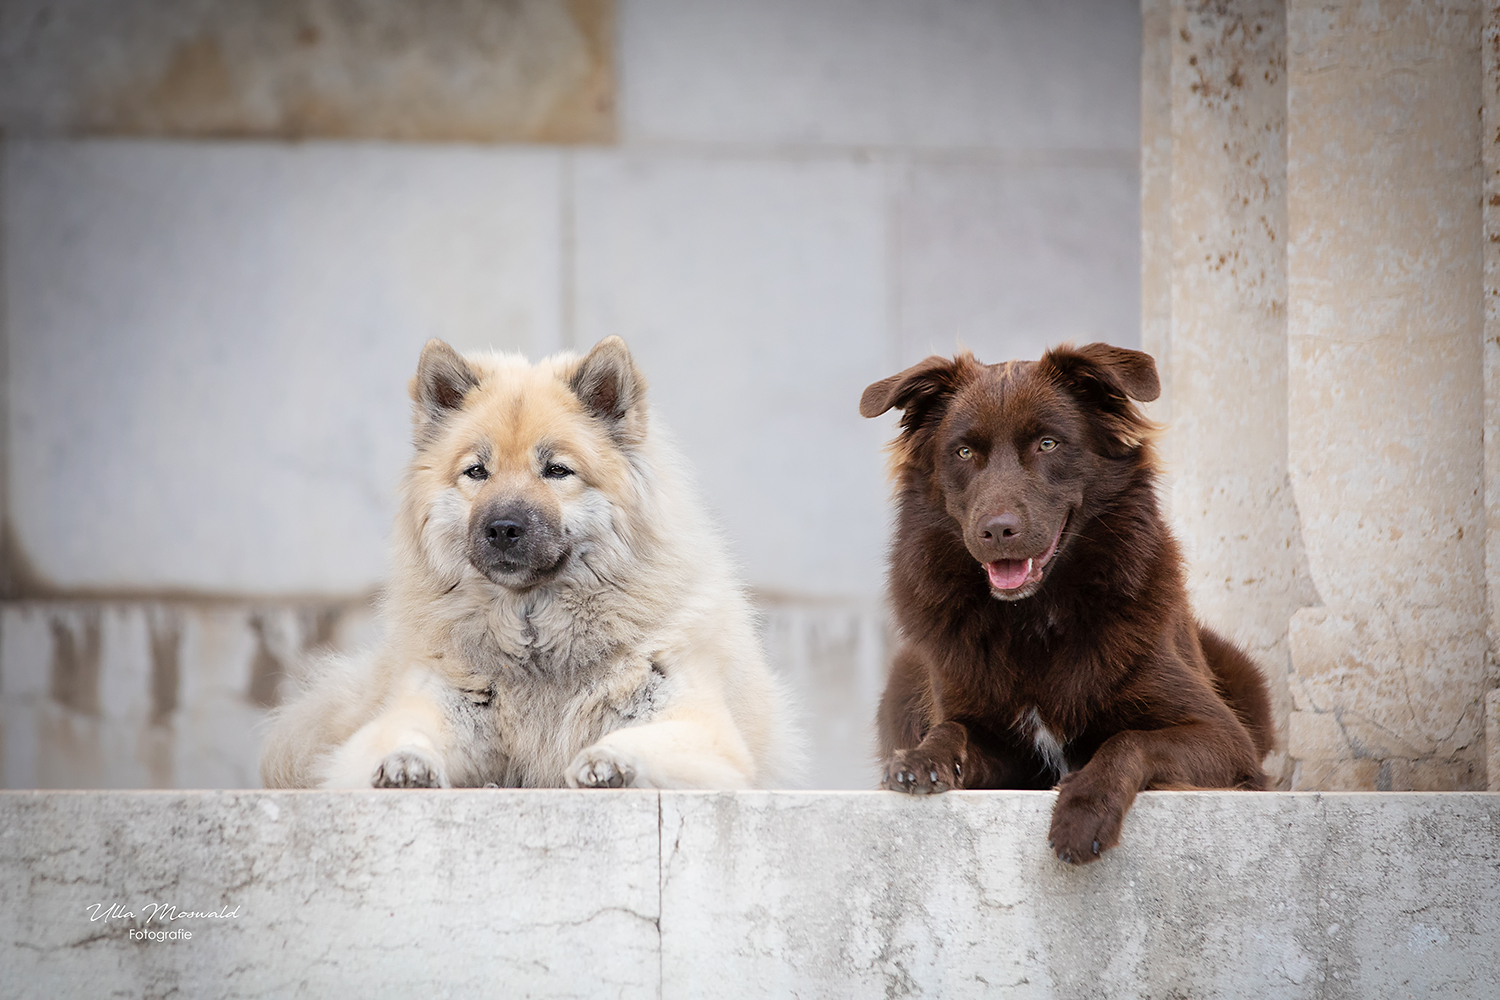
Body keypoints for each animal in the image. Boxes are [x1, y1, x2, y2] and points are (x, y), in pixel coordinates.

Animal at [258, 335, 798, 791]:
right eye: (477, 471)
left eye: (557, 470)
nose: (502, 528)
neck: (536, 645)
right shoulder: (423, 713)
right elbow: (400, 736)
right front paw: (405, 762)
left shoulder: (704, 733)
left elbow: (640, 740)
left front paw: (610, 760)